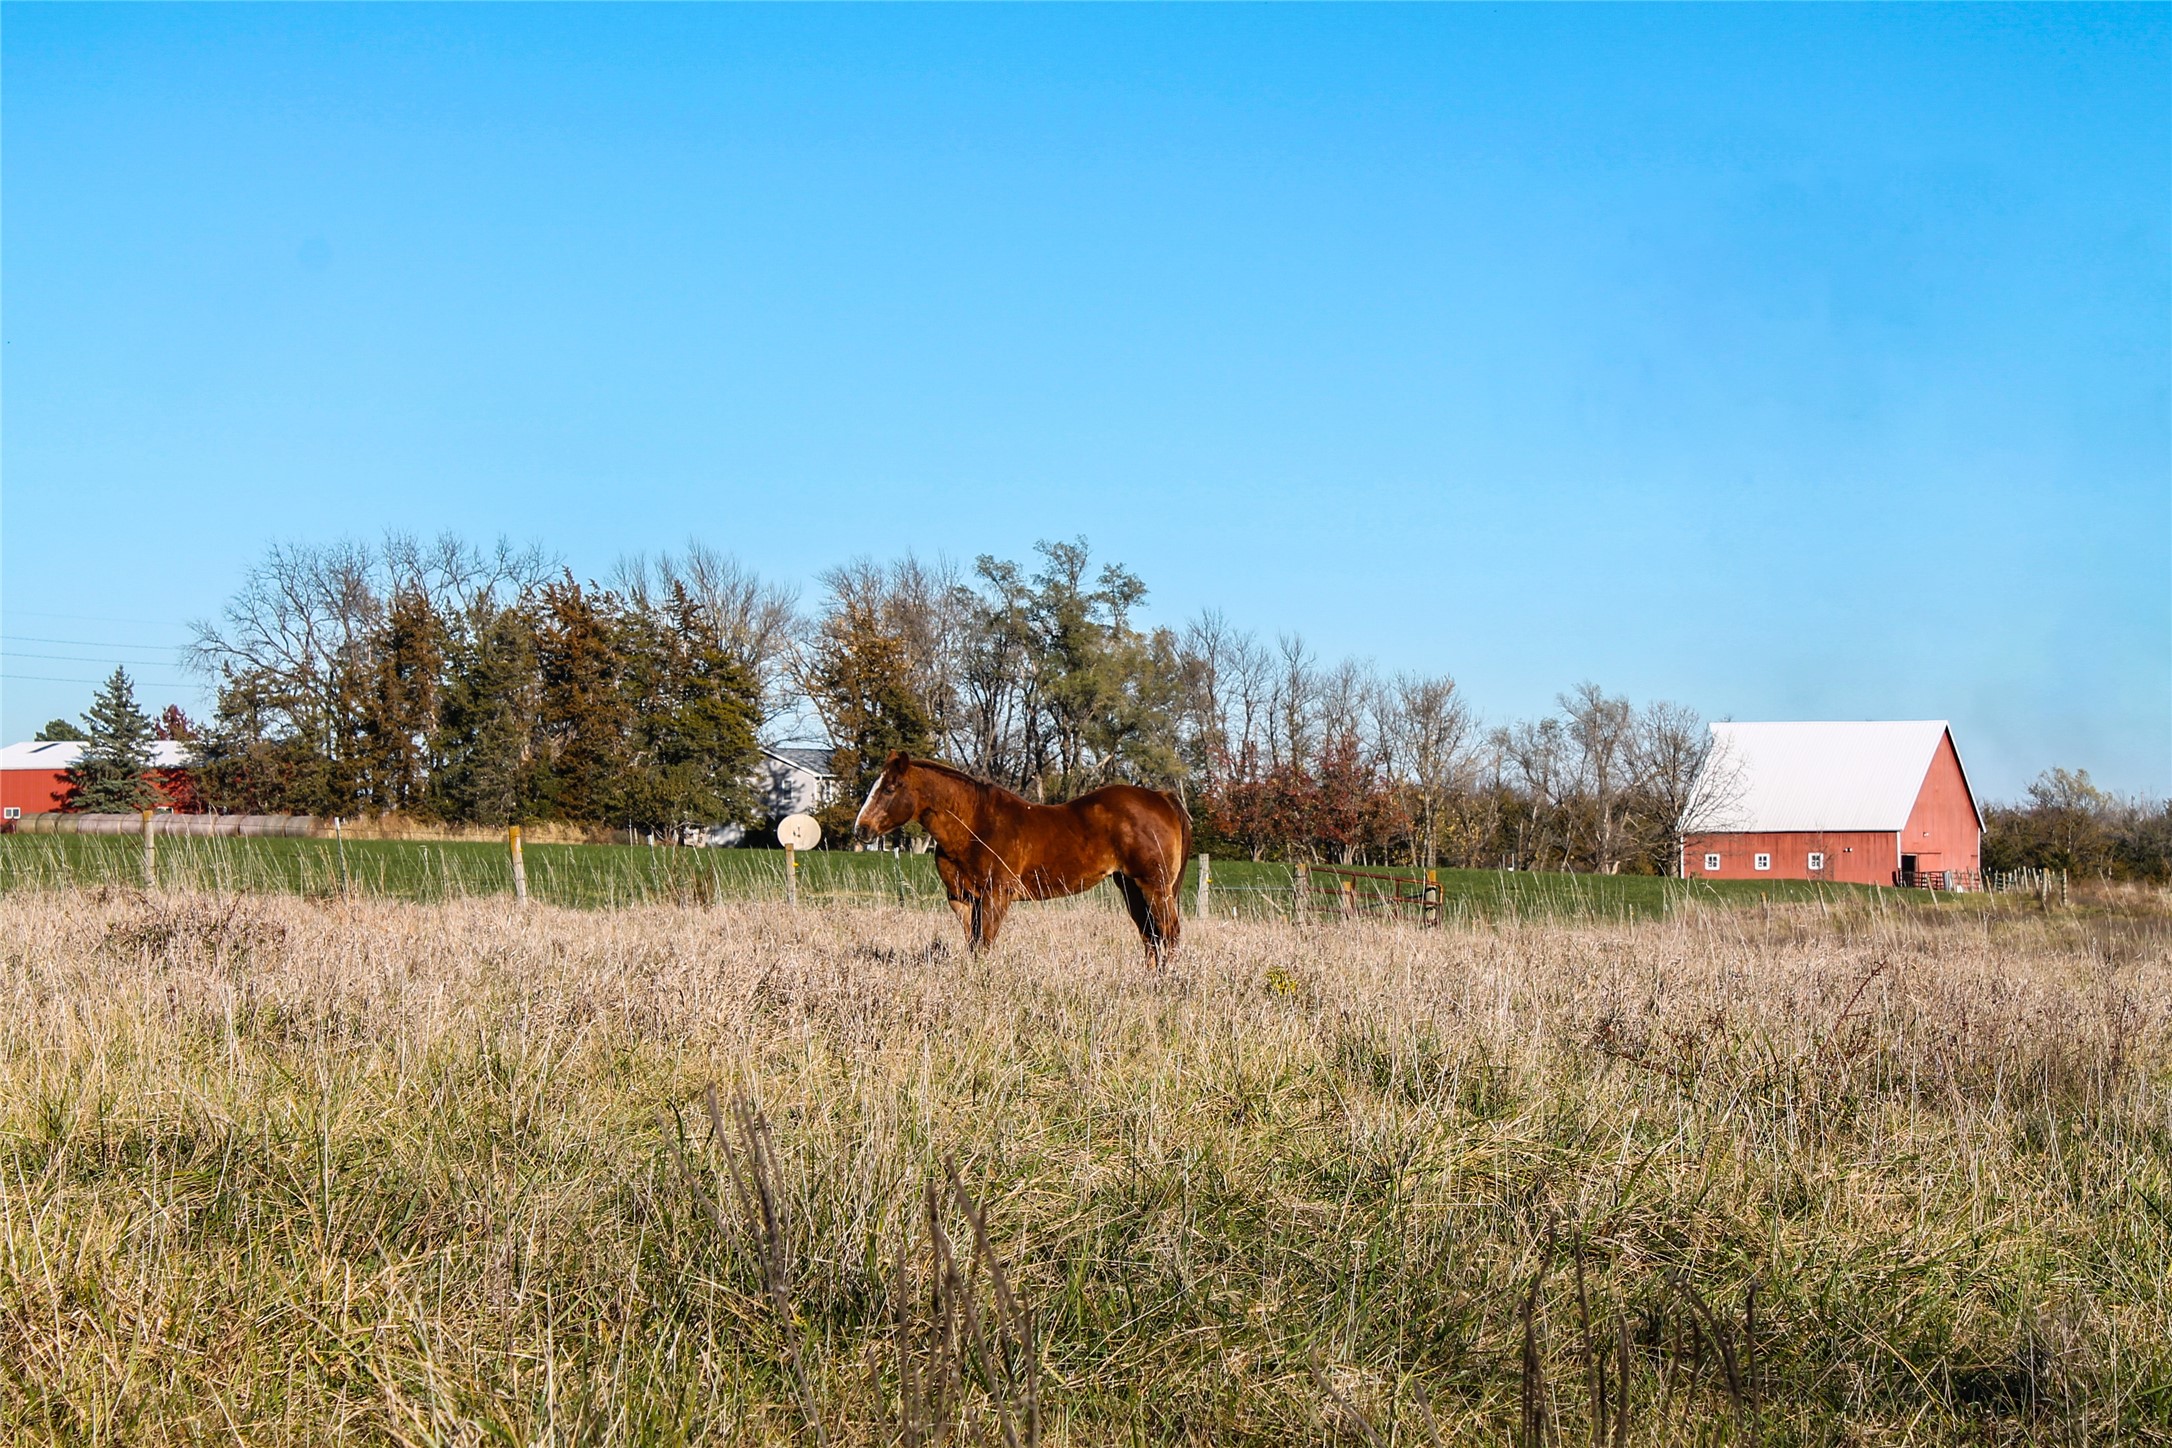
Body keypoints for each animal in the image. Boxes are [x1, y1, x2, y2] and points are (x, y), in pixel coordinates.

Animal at [851, 759, 1190, 963]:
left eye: (890, 788)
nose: (861, 829)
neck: (974, 825)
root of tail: (1162, 797)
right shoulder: (962, 899)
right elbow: (973, 945)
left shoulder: (996, 896)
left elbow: (985, 944)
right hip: (1130, 886)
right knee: (1150, 935)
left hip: (1155, 887)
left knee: (1170, 932)